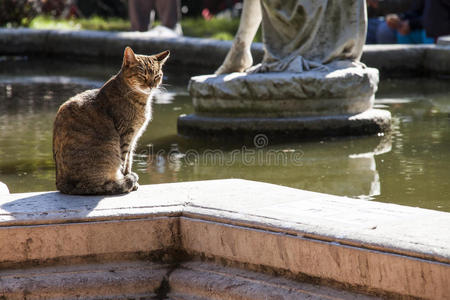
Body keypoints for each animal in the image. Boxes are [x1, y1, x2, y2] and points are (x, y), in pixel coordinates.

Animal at [52, 45, 169, 193]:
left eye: (157, 76)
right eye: (142, 75)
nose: (151, 85)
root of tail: (61, 184)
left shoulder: (133, 138)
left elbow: (128, 161)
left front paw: (130, 180)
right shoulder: (126, 135)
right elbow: (123, 162)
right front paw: (127, 181)